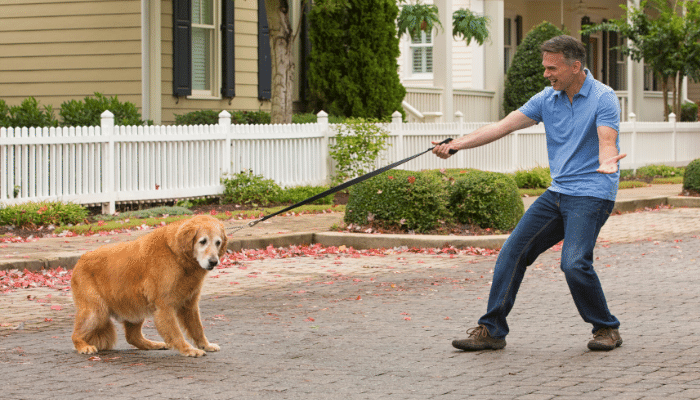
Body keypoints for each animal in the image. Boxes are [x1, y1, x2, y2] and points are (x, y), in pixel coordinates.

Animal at [70, 216, 227, 356]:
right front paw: (188, 350)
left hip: (134, 307)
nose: (214, 262)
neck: (176, 254)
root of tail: (80, 260)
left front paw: (205, 345)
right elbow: (176, 333)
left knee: (133, 337)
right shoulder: (164, 306)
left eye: (218, 242)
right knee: (75, 334)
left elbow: (197, 329)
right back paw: (83, 346)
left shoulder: (189, 304)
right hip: (97, 311)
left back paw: (154, 344)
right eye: (203, 241)